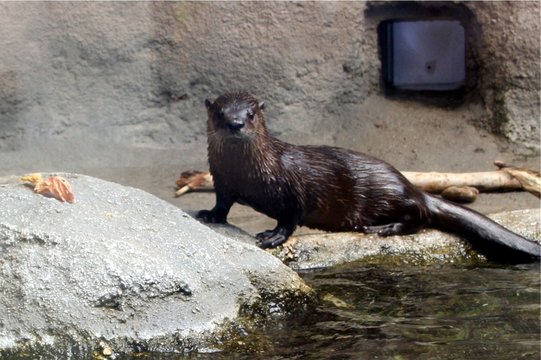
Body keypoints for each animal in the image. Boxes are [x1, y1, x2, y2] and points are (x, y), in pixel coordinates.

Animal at [198, 91, 540, 262]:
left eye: (251, 113)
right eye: (219, 112)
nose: (235, 123)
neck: (249, 174)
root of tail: (410, 185)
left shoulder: (291, 186)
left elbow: (290, 217)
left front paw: (273, 236)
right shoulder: (222, 180)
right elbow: (223, 203)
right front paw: (209, 214)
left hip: (390, 194)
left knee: (420, 216)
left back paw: (384, 228)